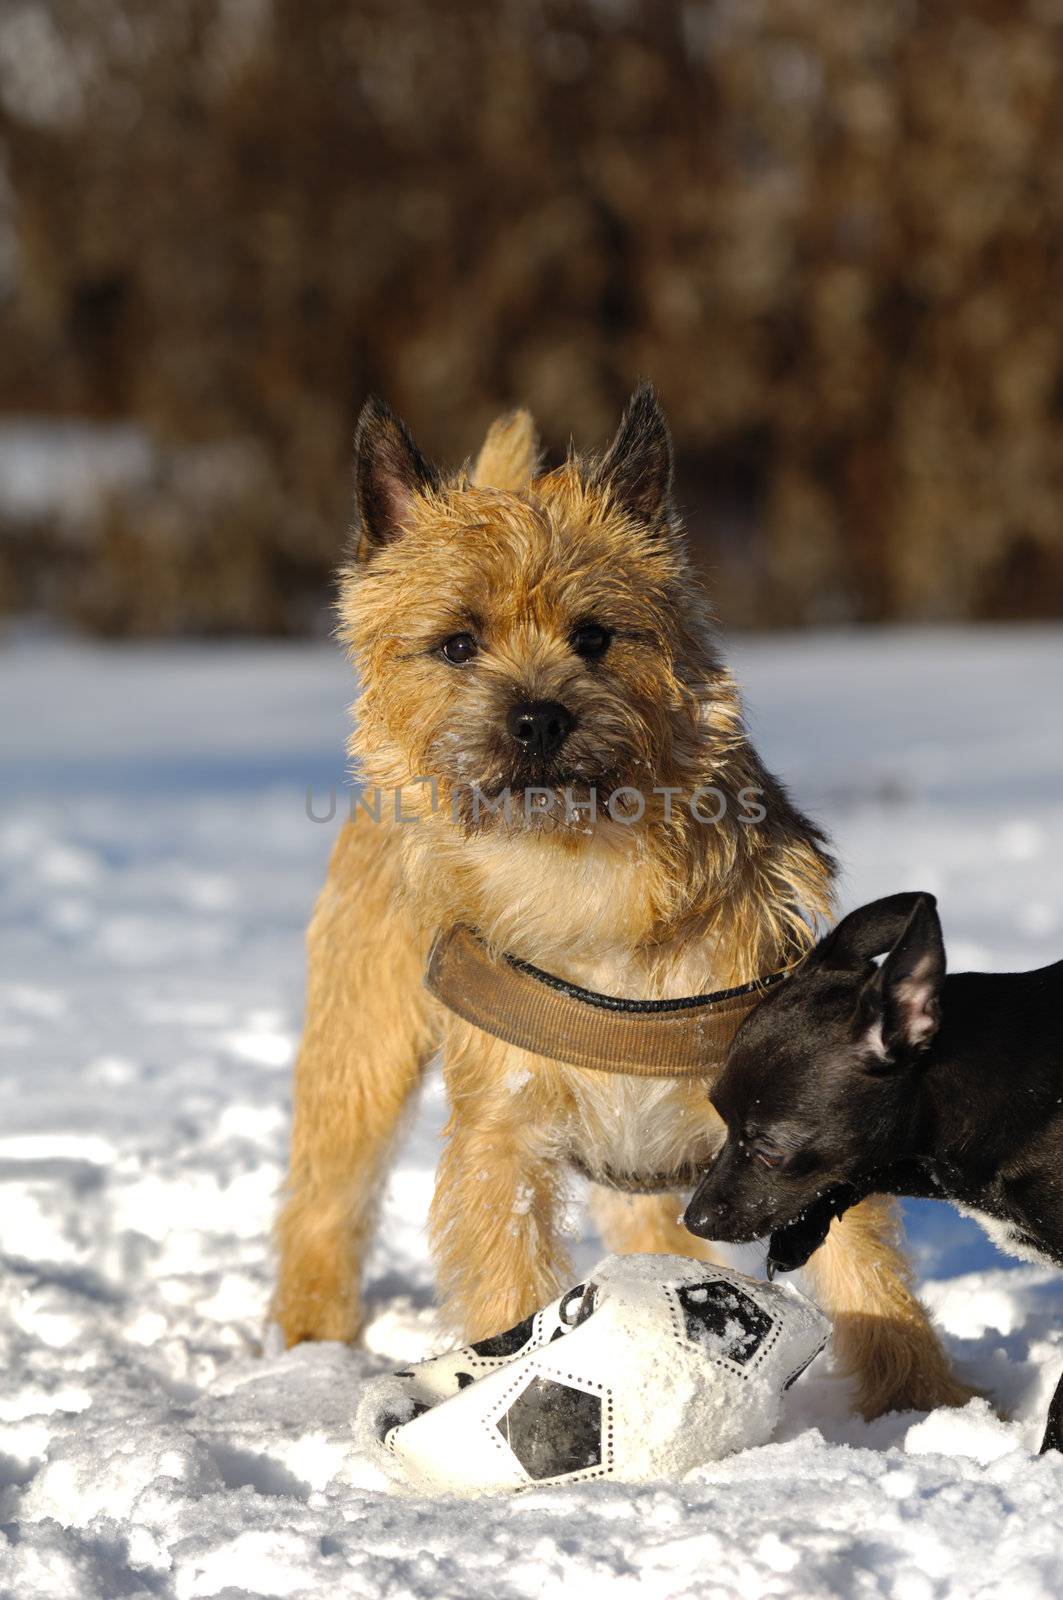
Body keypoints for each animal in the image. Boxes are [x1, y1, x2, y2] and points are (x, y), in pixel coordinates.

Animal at [273, 384, 973, 1414]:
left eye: (594, 636)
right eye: (456, 643)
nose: (537, 717)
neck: (582, 873)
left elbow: (864, 1273)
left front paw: (923, 1410)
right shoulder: (502, 1145)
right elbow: (509, 1283)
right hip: (361, 1041)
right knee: (326, 1197)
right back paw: (304, 1346)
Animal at [681, 896, 1063, 1459]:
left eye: (770, 1149)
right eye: (722, 1122)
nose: (694, 1220)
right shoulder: (933, 1161)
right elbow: (868, 1169)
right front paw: (798, 1234)